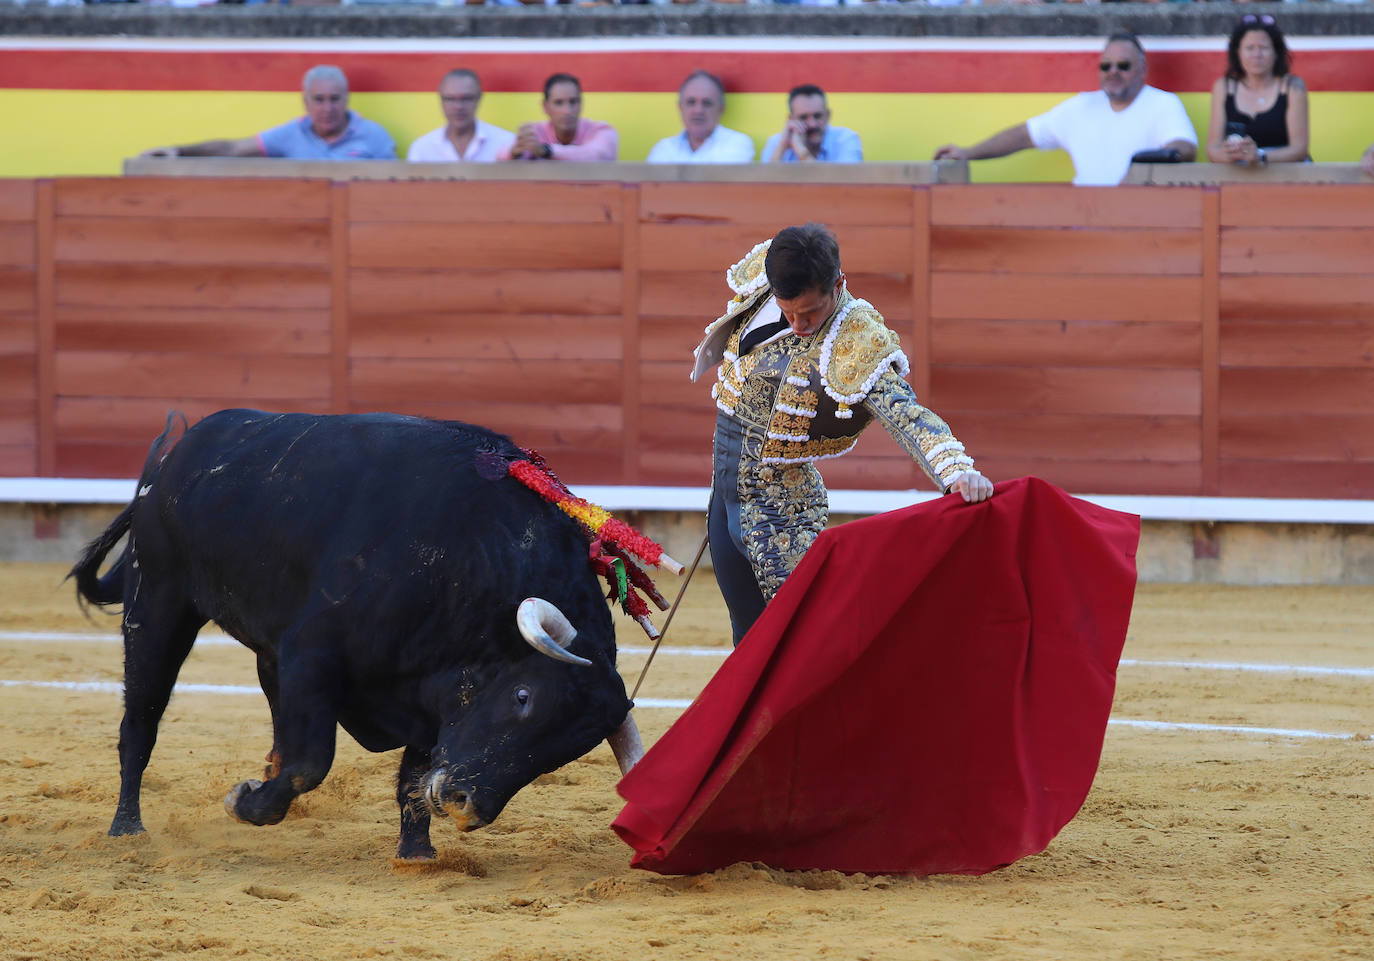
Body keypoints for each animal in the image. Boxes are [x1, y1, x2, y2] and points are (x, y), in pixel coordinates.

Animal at [73, 409, 648, 863]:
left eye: (566, 752)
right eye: (523, 697)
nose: (466, 807)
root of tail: (174, 460)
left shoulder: (430, 693)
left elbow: (413, 775)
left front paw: (417, 855)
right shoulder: (312, 654)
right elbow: (310, 762)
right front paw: (245, 801)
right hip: (158, 604)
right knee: (141, 721)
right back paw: (128, 828)